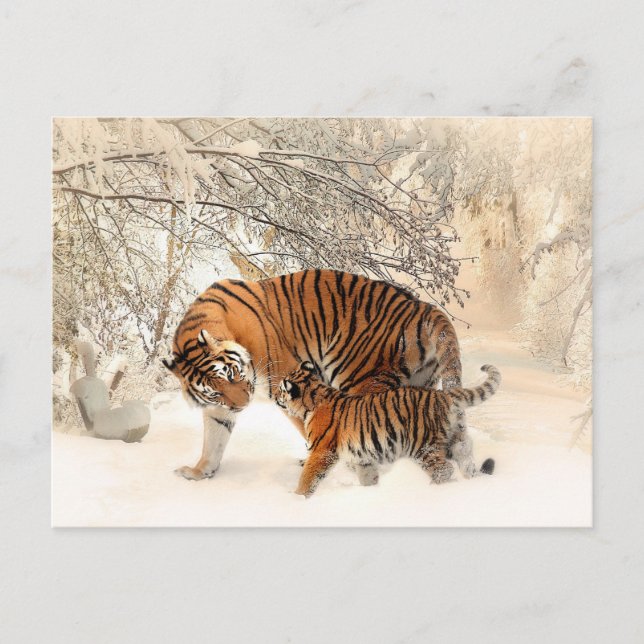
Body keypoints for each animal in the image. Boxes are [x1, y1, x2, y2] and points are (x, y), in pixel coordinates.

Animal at [163, 269, 491, 483]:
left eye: (231, 373)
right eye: (214, 391)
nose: (242, 405)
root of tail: (422, 307)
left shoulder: (286, 380)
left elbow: (309, 427)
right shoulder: (218, 408)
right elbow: (213, 438)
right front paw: (199, 472)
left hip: (361, 379)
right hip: (419, 385)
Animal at [276, 362, 501, 497]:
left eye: (280, 389)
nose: (276, 397)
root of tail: (444, 395)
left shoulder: (321, 451)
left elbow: (308, 476)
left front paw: (298, 498)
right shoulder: (362, 457)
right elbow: (367, 476)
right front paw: (371, 492)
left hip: (423, 447)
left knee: (443, 470)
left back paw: (432, 491)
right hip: (457, 440)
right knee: (467, 462)